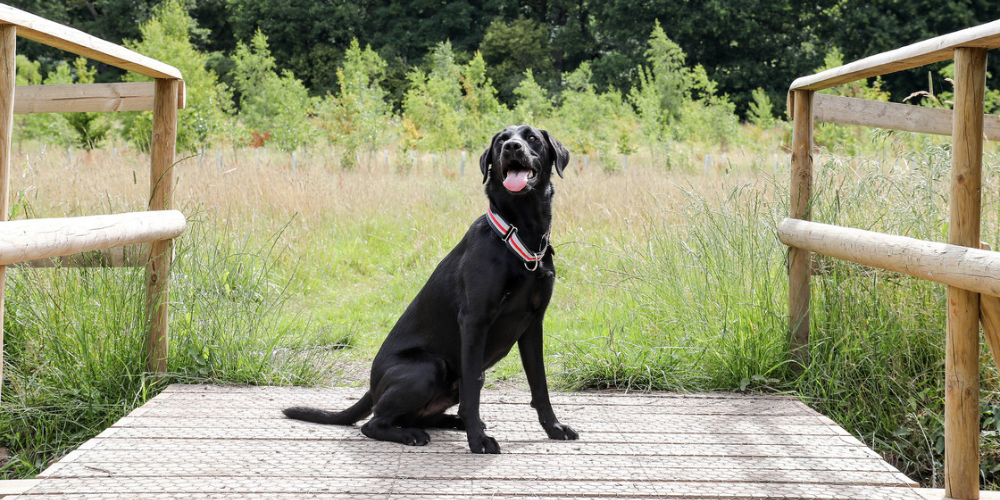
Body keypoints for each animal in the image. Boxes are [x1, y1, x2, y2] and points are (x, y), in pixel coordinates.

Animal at [284, 125, 580, 454]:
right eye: (502, 140)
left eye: (532, 139)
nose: (512, 147)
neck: (521, 234)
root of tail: (371, 388)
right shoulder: (475, 320)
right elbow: (474, 385)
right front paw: (478, 441)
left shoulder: (533, 323)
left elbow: (540, 384)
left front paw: (554, 428)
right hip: (429, 366)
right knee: (373, 423)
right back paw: (416, 434)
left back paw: (452, 423)